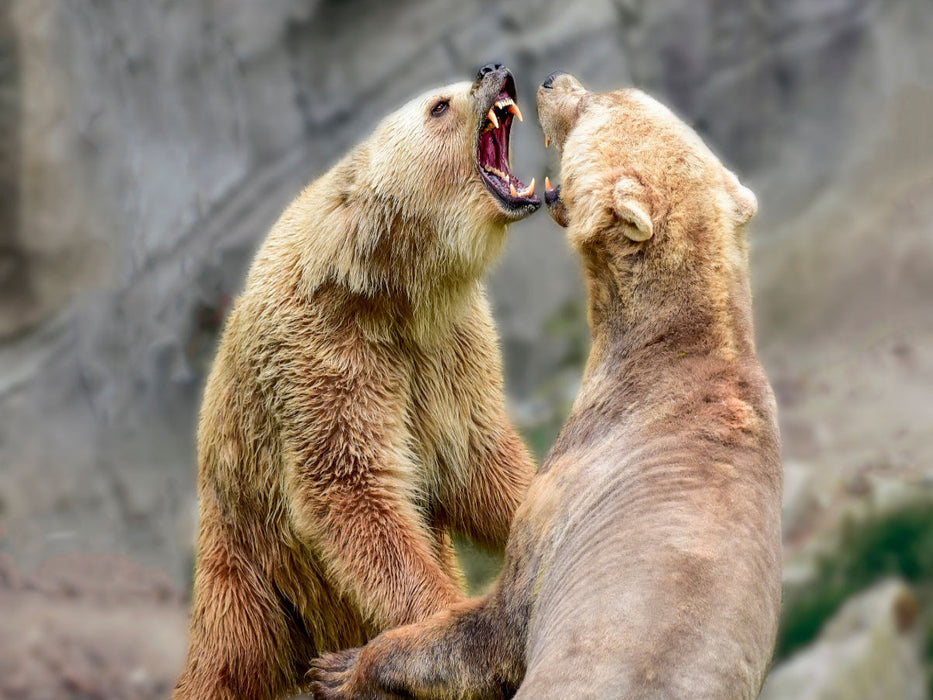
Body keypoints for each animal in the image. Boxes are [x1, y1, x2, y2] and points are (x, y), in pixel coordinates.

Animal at [173, 63, 540, 700]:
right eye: (439, 105)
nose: (495, 70)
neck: (390, 291)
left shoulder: (449, 350)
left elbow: (479, 460)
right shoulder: (325, 360)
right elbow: (355, 491)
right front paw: (439, 622)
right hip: (253, 575)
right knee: (230, 661)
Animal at [309, 72, 782, 700]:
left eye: (595, 103)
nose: (554, 81)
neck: (680, 350)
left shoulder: (570, 495)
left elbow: (496, 631)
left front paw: (342, 667)